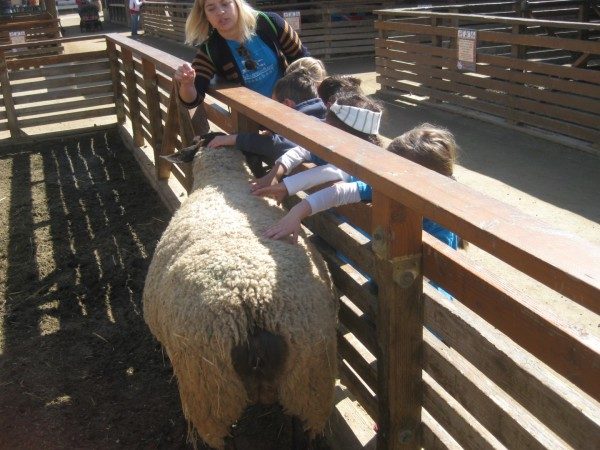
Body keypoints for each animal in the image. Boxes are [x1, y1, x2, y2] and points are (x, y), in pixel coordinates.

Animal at [141, 134, 338, 450]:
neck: (223, 178)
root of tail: (251, 304)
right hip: (308, 385)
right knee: (301, 430)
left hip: (211, 393)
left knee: (224, 438)